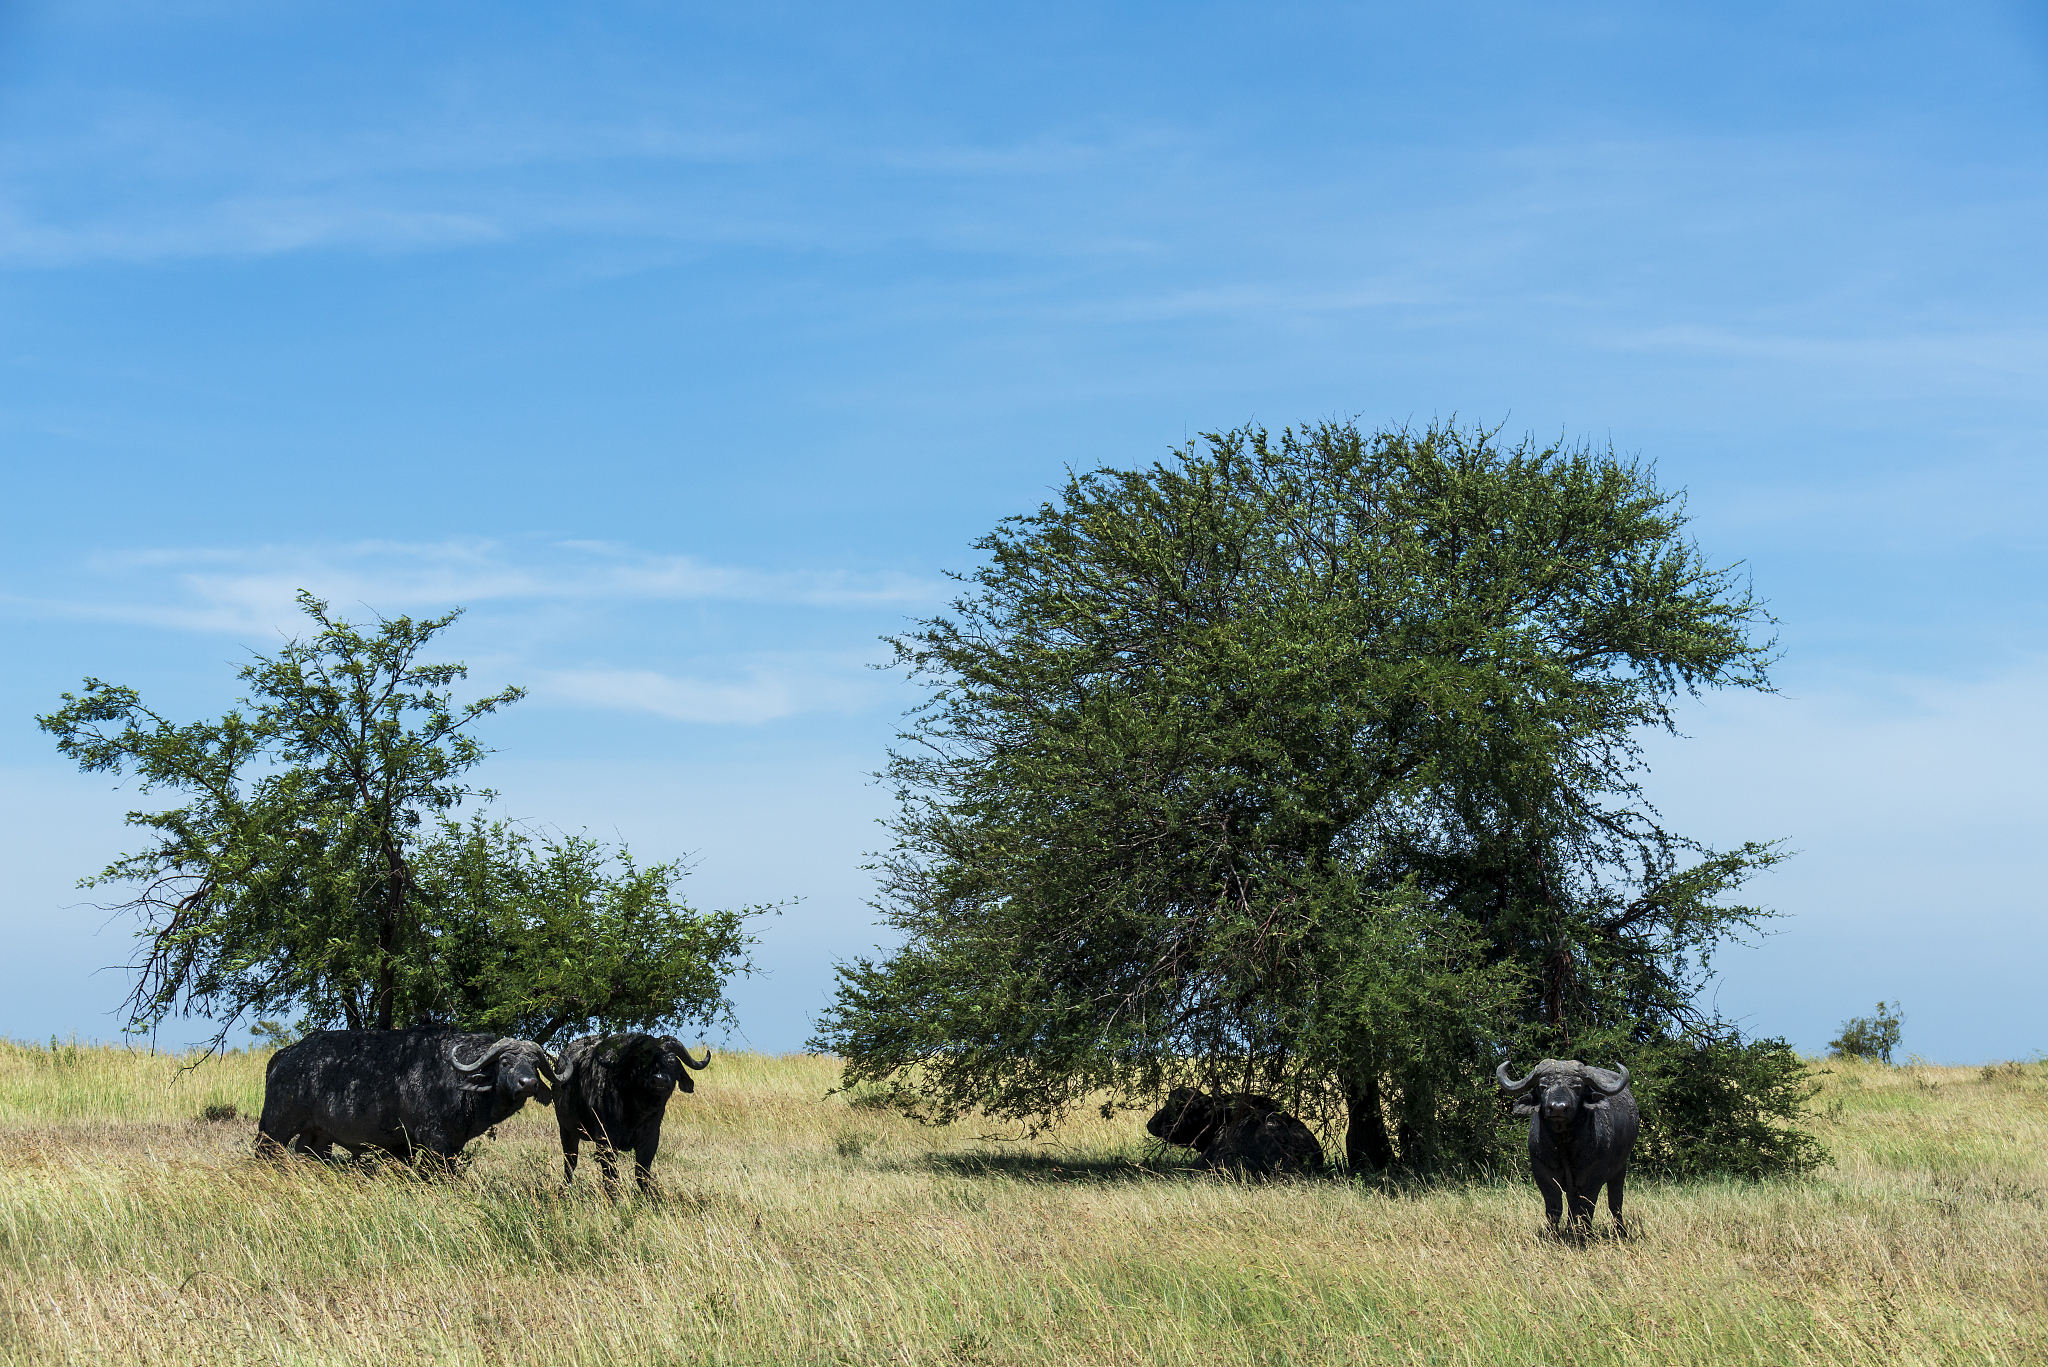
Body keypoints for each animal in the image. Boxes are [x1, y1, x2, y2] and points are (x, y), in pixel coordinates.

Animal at [256, 1027, 557, 1167]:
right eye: (505, 1062)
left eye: (534, 1064)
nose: (528, 1083)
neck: (455, 1079)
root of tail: (285, 1055)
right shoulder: (435, 1142)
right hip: (274, 1128)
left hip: (317, 1137)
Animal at [552, 1032, 711, 1192]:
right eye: (643, 1060)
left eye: (672, 1060)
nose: (660, 1080)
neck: (636, 1113)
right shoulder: (606, 1141)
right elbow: (611, 1177)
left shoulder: (650, 1140)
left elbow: (642, 1174)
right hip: (566, 1130)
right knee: (570, 1163)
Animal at [1496, 1058, 1638, 1234]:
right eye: (1543, 1086)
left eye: (1577, 1087)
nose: (1558, 1108)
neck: (1564, 1145)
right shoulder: (1541, 1172)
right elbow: (1554, 1207)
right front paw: (1552, 1234)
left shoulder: (1595, 1175)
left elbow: (1586, 1207)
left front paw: (1585, 1234)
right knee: (1572, 1202)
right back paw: (1571, 1228)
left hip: (1620, 1169)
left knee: (1615, 1201)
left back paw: (1620, 1231)